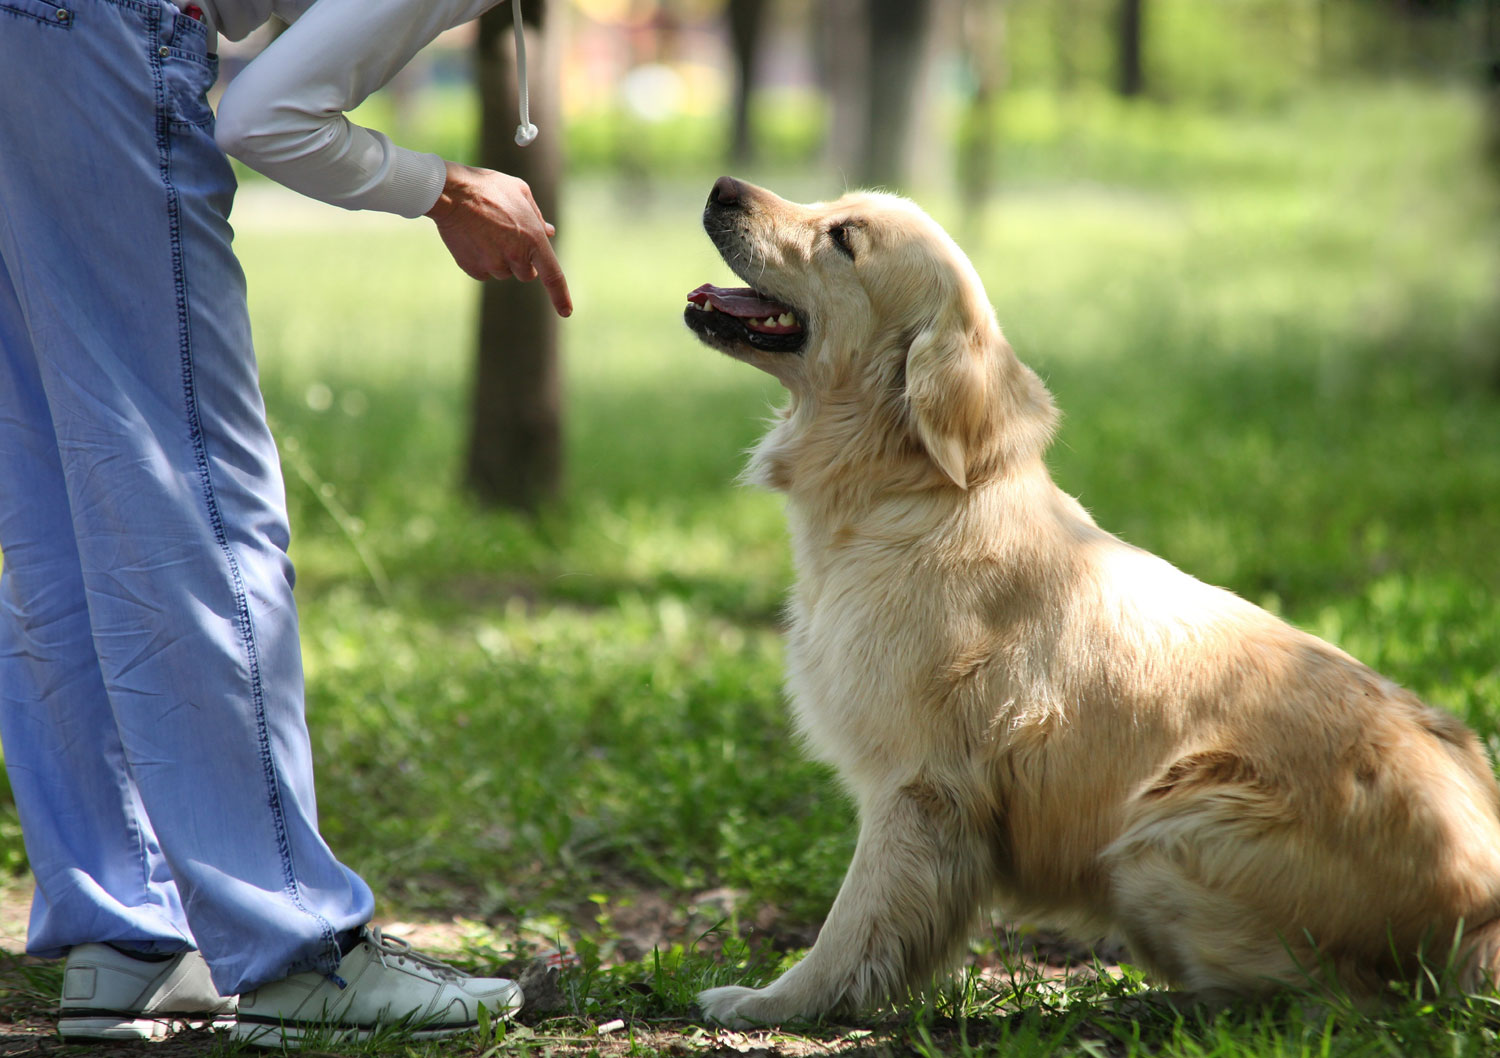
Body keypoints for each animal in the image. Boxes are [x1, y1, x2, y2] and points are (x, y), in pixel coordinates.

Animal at [684, 175, 1500, 1020]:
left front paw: (773, 1003)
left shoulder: (918, 786)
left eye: (844, 237)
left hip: (1164, 832)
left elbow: (854, 924)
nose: (723, 187)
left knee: (1337, 996)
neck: (909, 492)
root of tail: (1483, 913)